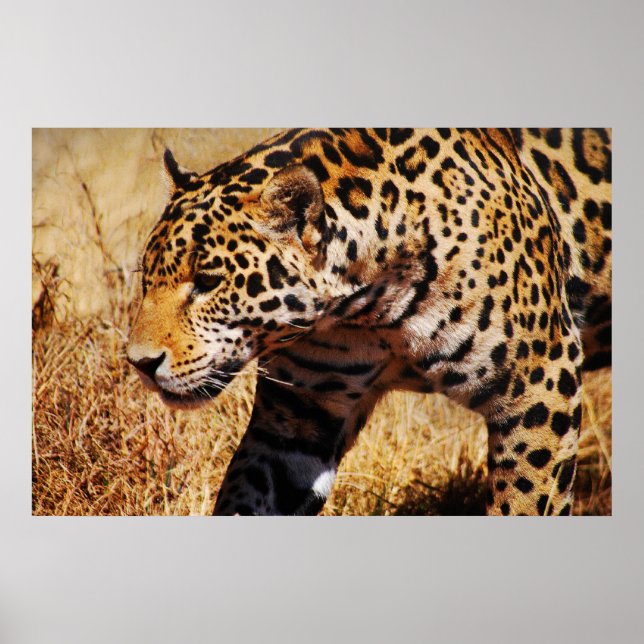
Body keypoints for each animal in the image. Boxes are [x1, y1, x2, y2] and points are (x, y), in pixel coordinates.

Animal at [127, 128, 611, 516]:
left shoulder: (539, 382)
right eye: (147, 279)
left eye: (207, 282)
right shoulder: (297, 417)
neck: (366, 310)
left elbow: (525, 500)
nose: (140, 364)